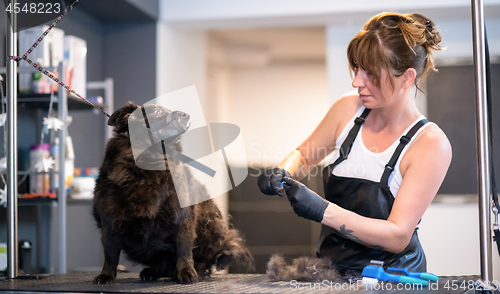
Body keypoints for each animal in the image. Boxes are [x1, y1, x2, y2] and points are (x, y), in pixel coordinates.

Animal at [91, 102, 252, 284]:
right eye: (157, 111)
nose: (186, 115)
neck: (151, 162)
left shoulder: (182, 217)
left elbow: (183, 249)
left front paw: (186, 272)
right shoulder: (109, 221)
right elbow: (110, 254)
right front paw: (106, 275)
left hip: (211, 225)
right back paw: (153, 272)